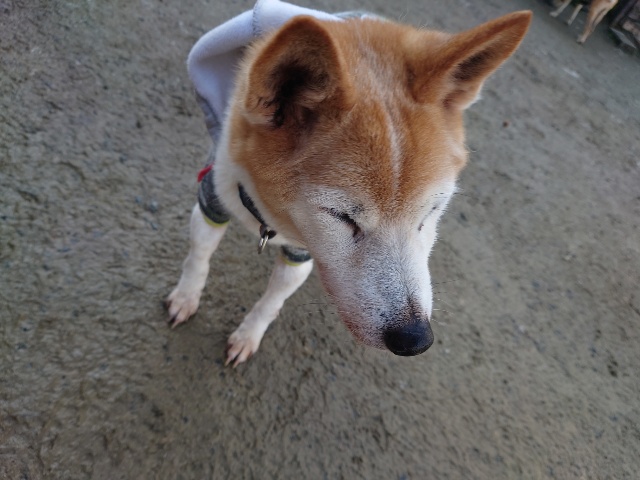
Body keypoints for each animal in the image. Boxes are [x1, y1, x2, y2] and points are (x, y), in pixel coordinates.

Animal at [166, 0, 531, 366]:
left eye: (431, 212)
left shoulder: (300, 253)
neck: (272, 219)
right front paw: (186, 297)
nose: (415, 339)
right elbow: (199, 257)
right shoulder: (212, 198)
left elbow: (272, 302)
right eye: (341, 216)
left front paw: (248, 335)